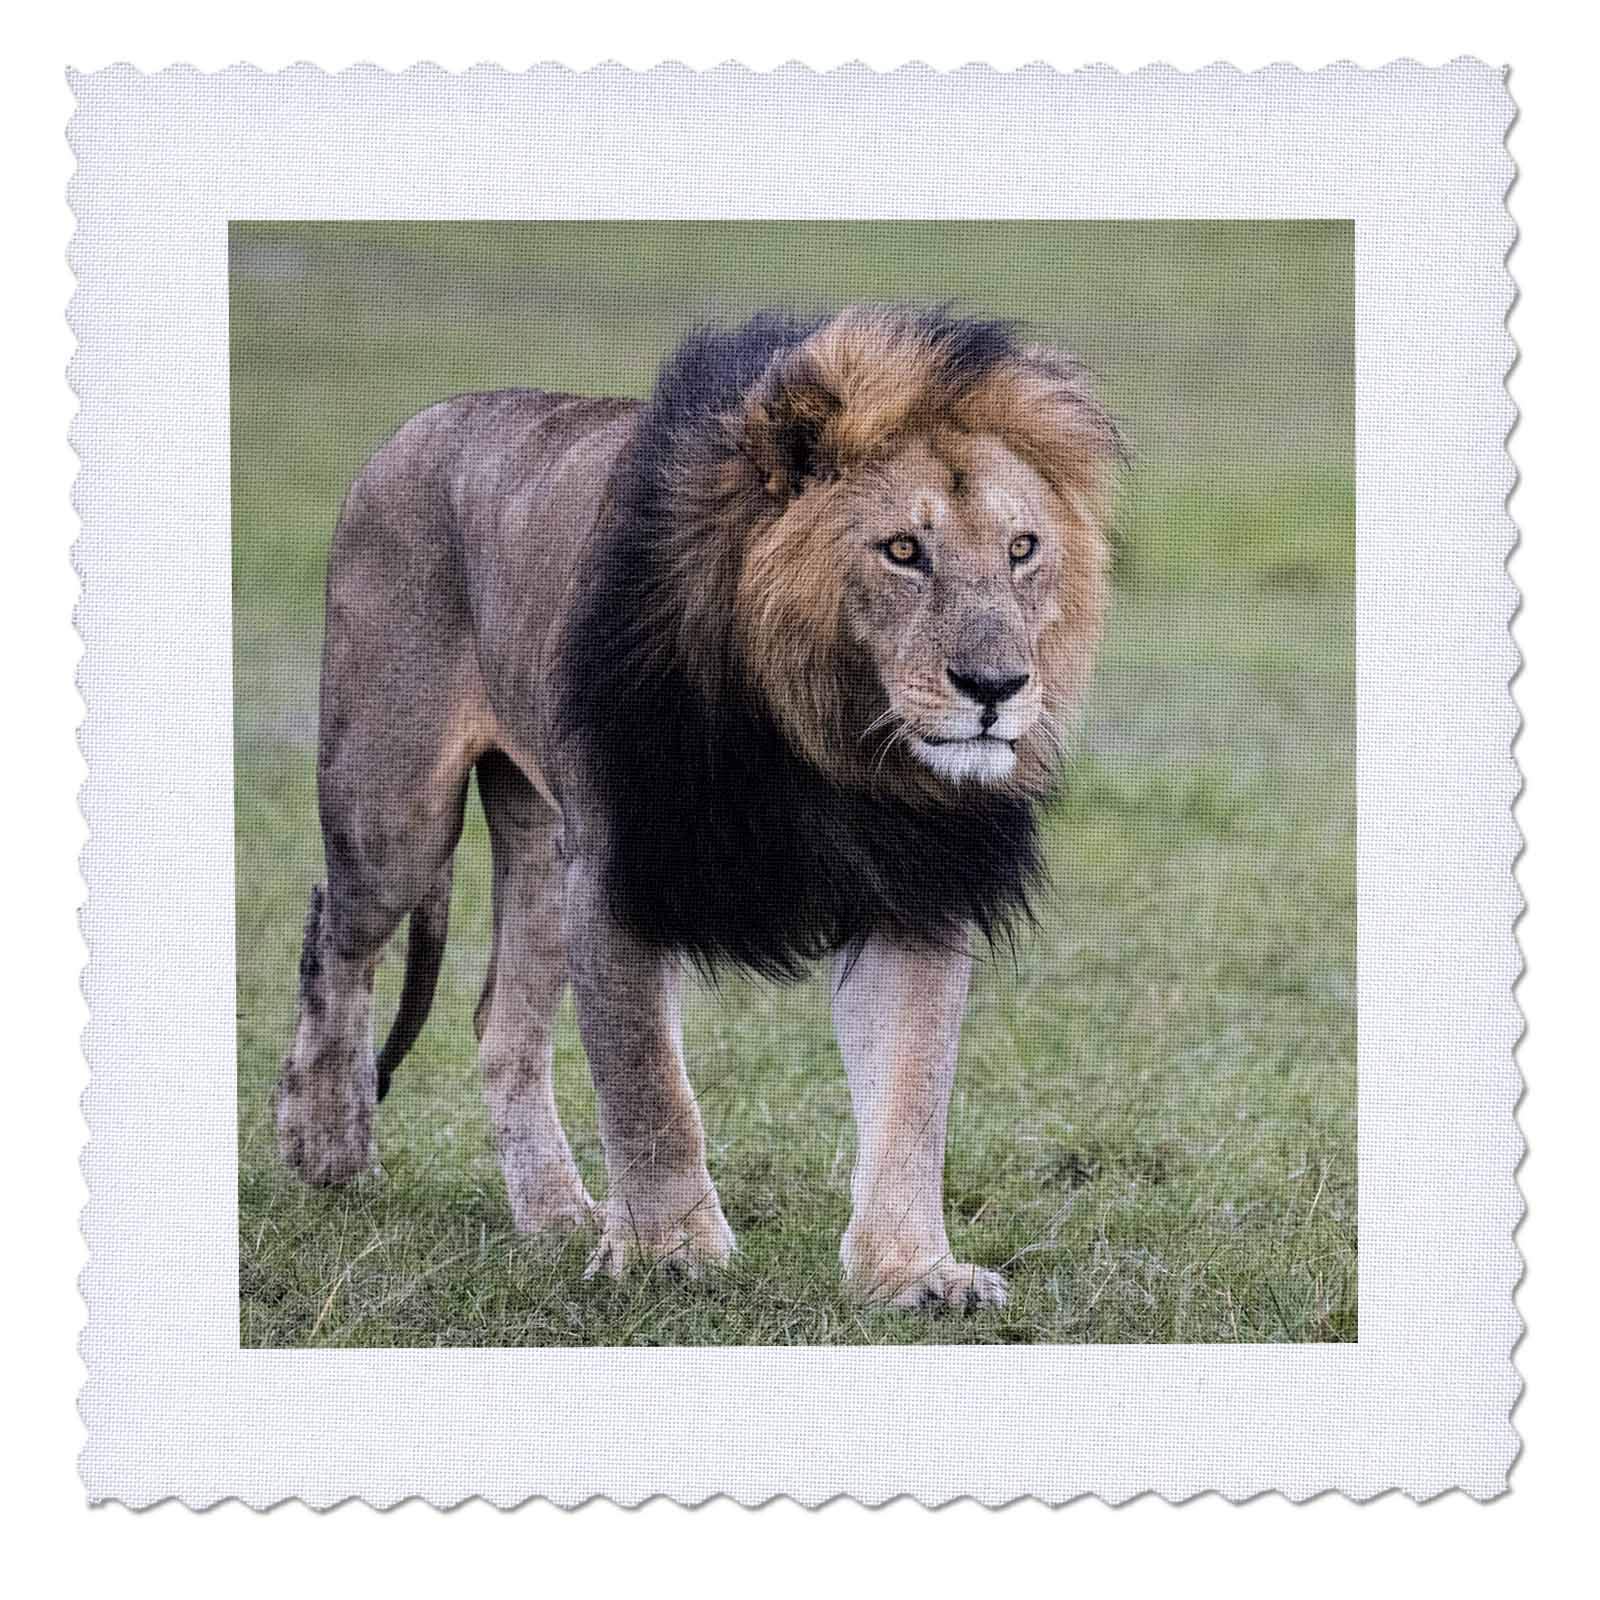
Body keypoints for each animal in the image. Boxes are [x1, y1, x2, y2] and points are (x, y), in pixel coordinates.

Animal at [274, 304, 1120, 1310]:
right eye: (904, 551)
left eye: (1022, 549)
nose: (995, 687)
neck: (825, 739)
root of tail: (416, 426)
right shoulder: (621, 867)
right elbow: (649, 1089)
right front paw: (671, 1255)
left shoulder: (917, 886)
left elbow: (912, 1095)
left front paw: (913, 1273)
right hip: (395, 808)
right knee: (337, 937)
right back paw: (329, 1145)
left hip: (540, 842)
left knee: (501, 1024)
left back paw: (558, 1216)